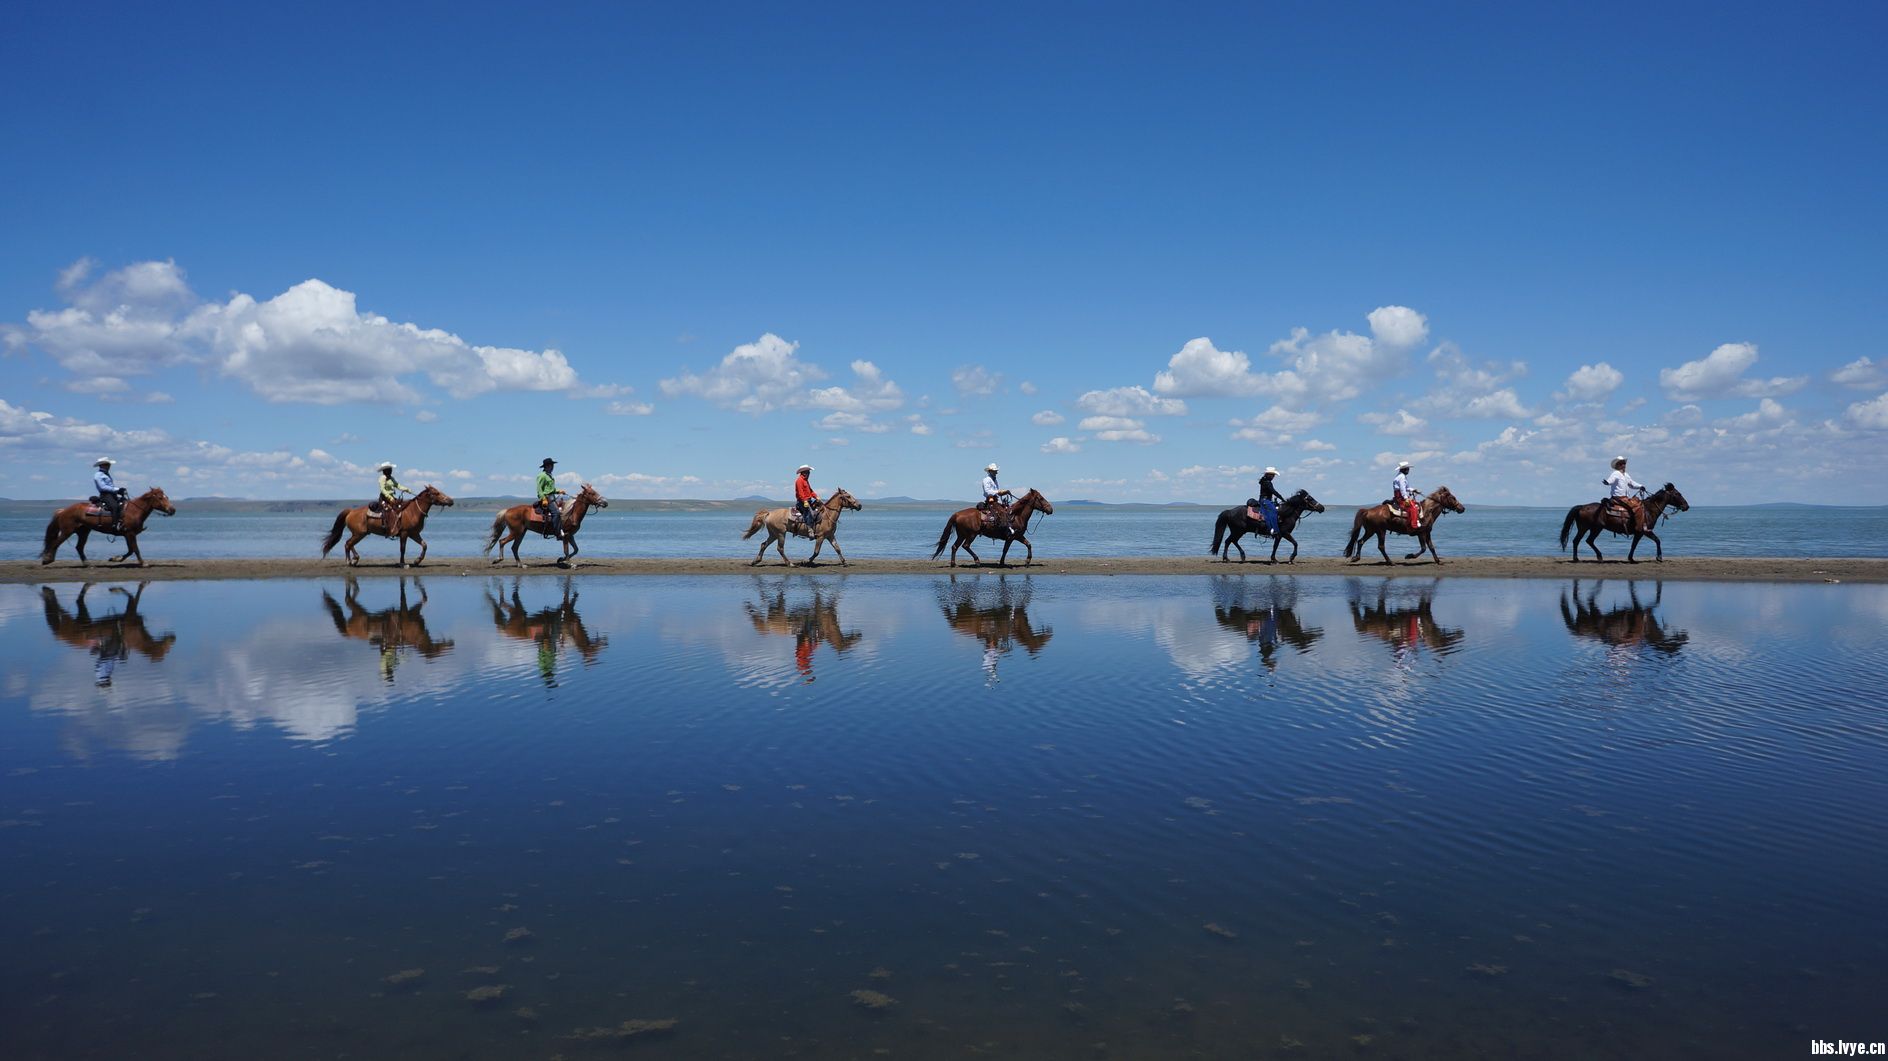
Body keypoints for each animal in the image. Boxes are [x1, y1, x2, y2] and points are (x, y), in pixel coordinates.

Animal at [39, 487, 177, 566]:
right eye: (160, 497)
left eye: (167, 497)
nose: (172, 510)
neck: (134, 510)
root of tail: (63, 511)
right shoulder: (130, 533)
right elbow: (135, 549)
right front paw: (143, 563)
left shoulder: (127, 534)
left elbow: (130, 550)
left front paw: (115, 558)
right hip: (67, 531)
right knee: (55, 543)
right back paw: (47, 560)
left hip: (83, 531)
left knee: (79, 547)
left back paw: (87, 563)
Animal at [320, 483, 456, 566]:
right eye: (436, 493)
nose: (451, 501)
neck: (413, 511)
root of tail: (351, 511)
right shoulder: (404, 533)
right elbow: (402, 549)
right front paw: (403, 563)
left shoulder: (414, 534)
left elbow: (424, 545)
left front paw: (417, 561)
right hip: (359, 533)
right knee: (348, 544)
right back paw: (350, 561)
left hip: (360, 533)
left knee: (349, 543)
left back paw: (355, 559)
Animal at [1336, 483, 1465, 562]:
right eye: (1453, 497)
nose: (1462, 508)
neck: (1427, 511)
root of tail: (1368, 510)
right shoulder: (1421, 533)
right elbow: (1424, 548)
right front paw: (1409, 556)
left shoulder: (1427, 532)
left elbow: (1431, 547)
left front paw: (1438, 561)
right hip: (1380, 531)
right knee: (1380, 546)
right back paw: (1390, 562)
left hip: (1371, 530)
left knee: (1360, 541)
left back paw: (1356, 558)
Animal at [1555, 481, 1691, 562]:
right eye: (1678, 494)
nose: (1686, 506)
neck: (1648, 510)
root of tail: (1582, 506)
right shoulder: (1644, 531)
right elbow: (1656, 540)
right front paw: (1659, 557)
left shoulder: (1639, 533)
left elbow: (1634, 545)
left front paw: (1631, 558)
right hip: (1589, 528)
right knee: (1580, 541)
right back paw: (1582, 558)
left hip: (1592, 528)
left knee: (1585, 541)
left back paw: (1594, 557)